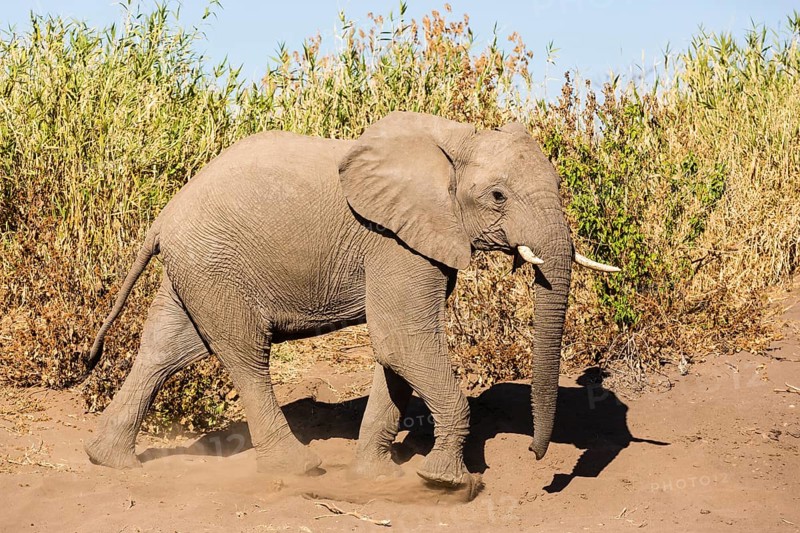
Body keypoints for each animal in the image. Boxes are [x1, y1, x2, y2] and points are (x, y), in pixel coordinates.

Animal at [83, 111, 618, 488]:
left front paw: (377, 477)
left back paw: (108, 460)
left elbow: (394, 354)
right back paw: (299, 469)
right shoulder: (395, 242)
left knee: (166, 348)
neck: (456, 138)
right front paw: (445, 483)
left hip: (195, 269)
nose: (536, 458)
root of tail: (163, 217)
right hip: (216, 266)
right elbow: (403, 341)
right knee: (246, 354)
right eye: (498, 196)